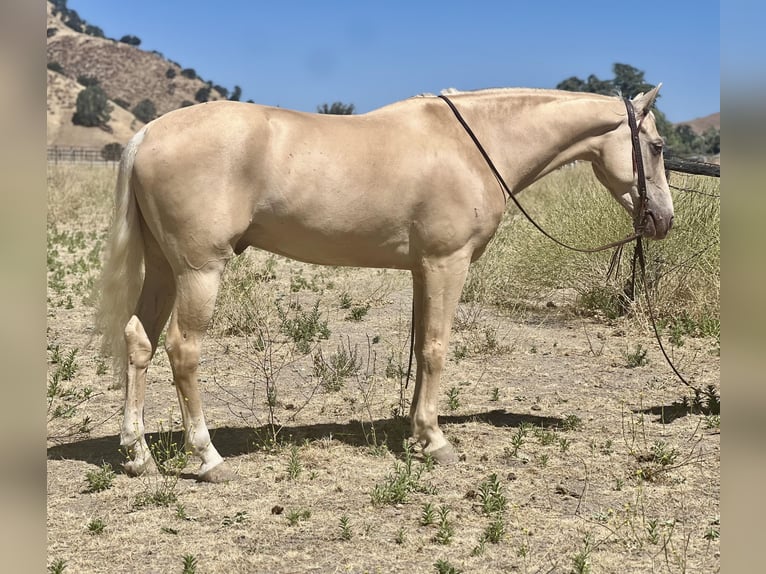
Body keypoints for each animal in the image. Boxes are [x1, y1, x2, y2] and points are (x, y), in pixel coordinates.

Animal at [99, 84, 676, 482]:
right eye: (656, 145)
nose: (663, 221)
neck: (472, 145)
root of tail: (147, 134)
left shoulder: (424, 270)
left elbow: (421, 349)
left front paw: (417, 433)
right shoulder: (447, 264)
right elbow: (438, 349)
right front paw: (437, 442)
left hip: (163, 268)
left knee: (139, 341)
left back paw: (138, 455)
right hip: (199, 272)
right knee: (182, 350)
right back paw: (208, 457)